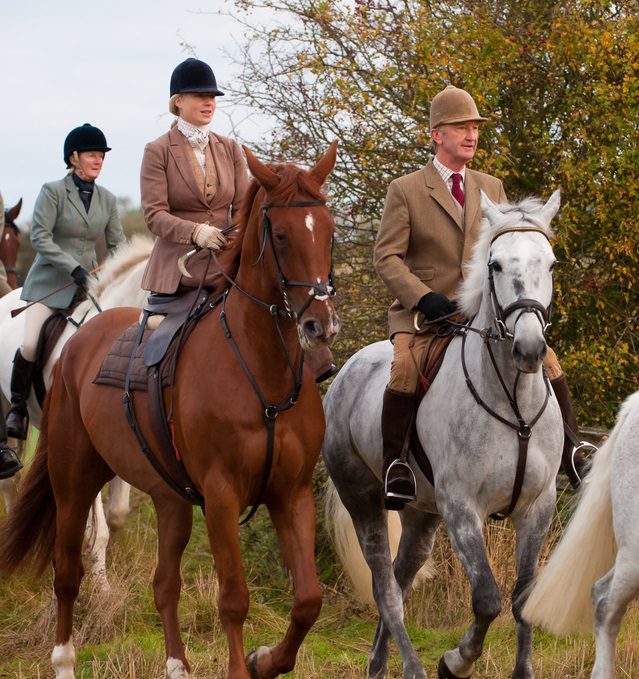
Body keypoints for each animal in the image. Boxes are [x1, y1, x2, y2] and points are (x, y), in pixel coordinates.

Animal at [0, 145, 340, 679]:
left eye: (328, 231)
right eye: (281, 235)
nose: (320, 327)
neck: (261, 371)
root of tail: (79, 341)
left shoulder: (291, 494)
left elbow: (308, 599)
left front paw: (265, 659)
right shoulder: (221, 497)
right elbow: (234, 599)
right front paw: (245, 664)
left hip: (169, 497)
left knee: (164, 584)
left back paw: (177, 665)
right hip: (73, 479)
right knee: (67, 570)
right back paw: (64, 660)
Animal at [324, 191, 564, 679]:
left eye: (550, 264)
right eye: (495, 265)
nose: (530, 349)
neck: (514, 402)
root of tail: (347, 370)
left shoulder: (538, 506)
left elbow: (523, 601)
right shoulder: (461, 507)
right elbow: (488, 598)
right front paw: (455, 661)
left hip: (421, 514)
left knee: (400, 579)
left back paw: (379, 666)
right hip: (363, 500)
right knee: (385, 589)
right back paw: (413, 667)